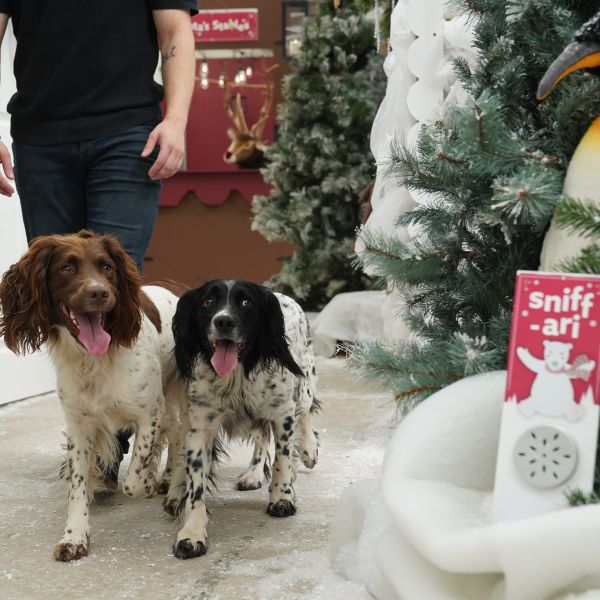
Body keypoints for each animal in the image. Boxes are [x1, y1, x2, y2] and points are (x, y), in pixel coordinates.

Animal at [0, 230, 186, 562]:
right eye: (66, 268)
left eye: (107, 268)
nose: (99, 293)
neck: (94, 359)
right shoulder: (79, 425)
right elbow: (77, 485)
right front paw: (74, 537)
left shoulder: (149, 413)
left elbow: (134, 479)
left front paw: (149, 483)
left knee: (180, 438)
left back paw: (174, 490)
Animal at [168, 279, 321, 559]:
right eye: (208, 301)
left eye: (246, 302)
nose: (223, 321)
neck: (236, 375)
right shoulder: (200, 428)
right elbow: (196, 489)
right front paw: (191, 534)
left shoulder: (282, 413)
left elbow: (283, 459)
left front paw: (282, 498)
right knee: (261, 438)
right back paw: (253, 473)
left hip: (304, 379)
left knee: (304, 412)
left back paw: (308, 450)